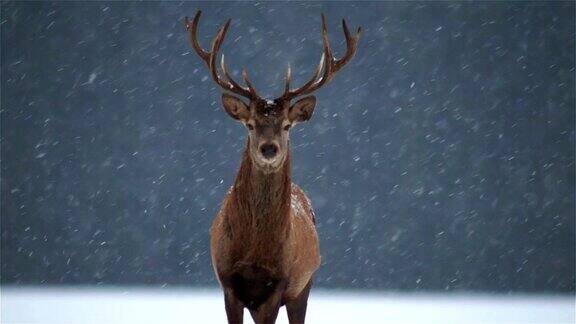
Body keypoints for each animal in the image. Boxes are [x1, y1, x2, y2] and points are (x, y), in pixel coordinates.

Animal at [186, 10, 360, 324]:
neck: (255, 253)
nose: (269, 148)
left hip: (305, 285)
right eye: (250, 124)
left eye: (287, 125)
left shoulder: (278, 286)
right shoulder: (228, 282)